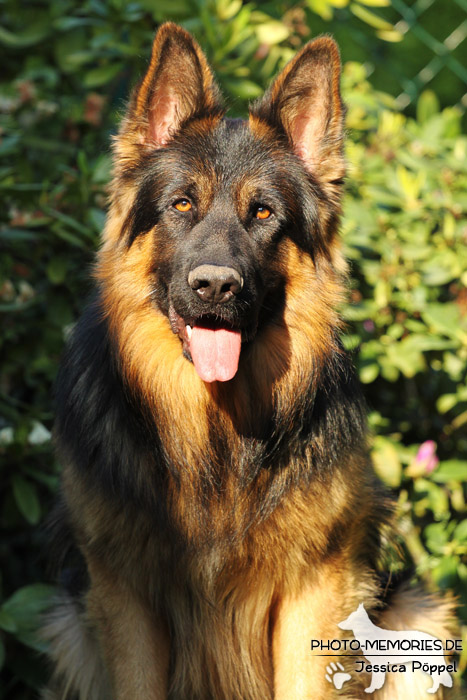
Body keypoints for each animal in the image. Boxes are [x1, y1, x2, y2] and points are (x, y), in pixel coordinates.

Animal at [42, 21, 458, 700]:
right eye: (181, 205)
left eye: (263, 214)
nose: (215, 286)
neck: (215, 432)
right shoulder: (124, 596)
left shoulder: (315, 593)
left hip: (420, 621)